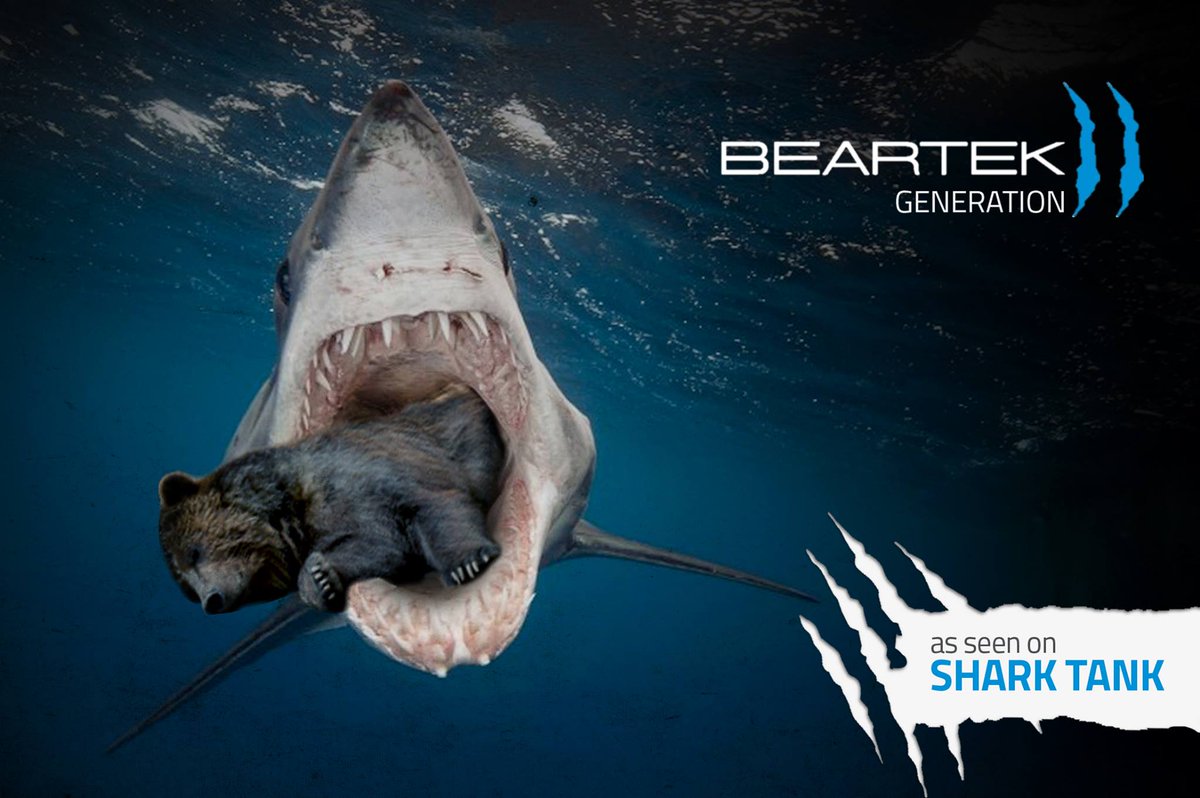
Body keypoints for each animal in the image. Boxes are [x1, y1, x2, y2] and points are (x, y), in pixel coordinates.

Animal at [157, 385, 504, 614]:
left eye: (194, 553)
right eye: (188, 588)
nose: (212, 600)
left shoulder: (375, 471)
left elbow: (433, 505)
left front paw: (469, 563)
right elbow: (380, 548)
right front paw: (321, 578)